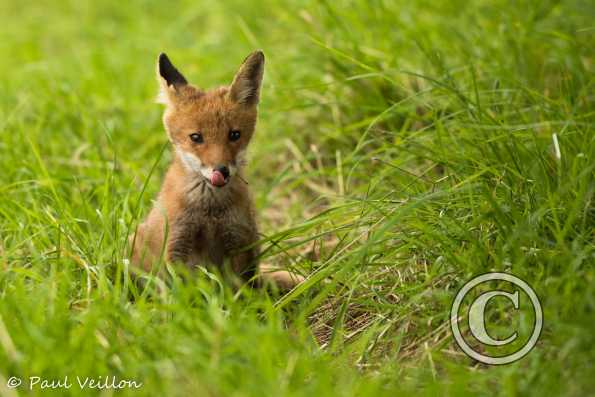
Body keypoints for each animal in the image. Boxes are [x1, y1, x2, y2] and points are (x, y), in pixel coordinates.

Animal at [130, 51, 302, 290]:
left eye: (234, 135)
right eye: (196, 137)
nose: (221, 171)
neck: (209, 210)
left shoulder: (238, 242)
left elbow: (238, 293)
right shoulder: (176, 244)